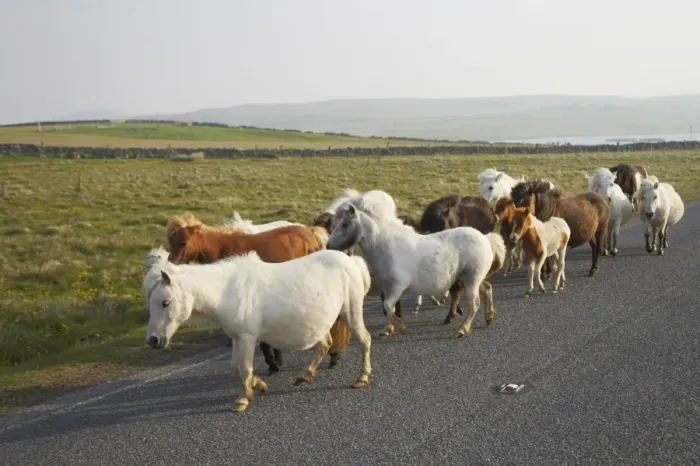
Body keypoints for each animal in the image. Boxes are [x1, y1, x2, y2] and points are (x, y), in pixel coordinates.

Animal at [144, 249, 373, 413]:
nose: (153, 340)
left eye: (165, 302)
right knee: (326, 344)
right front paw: (259, 385)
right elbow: (235, 368)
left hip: (351, 312)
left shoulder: (247, 337)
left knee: (365, 340)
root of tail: (352, 262)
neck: (226, 292)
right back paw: (304, 375)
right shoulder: (236, 337)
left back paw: (362, 378)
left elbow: (245, 368)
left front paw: (242, 399)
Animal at [165, 212, 351, 373]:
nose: (169, 266)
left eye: (183, 242)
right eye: (170, 241)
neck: (225, 249)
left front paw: (273, 362)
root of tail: (310, 233)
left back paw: (334, 355)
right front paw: (275, 360)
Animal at [326, 191, 499, 339]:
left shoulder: (397, 287)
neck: (385, 246)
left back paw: (463, 329)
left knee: (474, 303)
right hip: (471, 279)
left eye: (345, 224)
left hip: (471, 280)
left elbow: (388, 307)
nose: (328, 245)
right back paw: (489, 317)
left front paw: (400, 327)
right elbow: (388, 308)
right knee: (487, 288)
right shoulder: (388, 288)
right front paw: (387, 330)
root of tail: (484, 238)